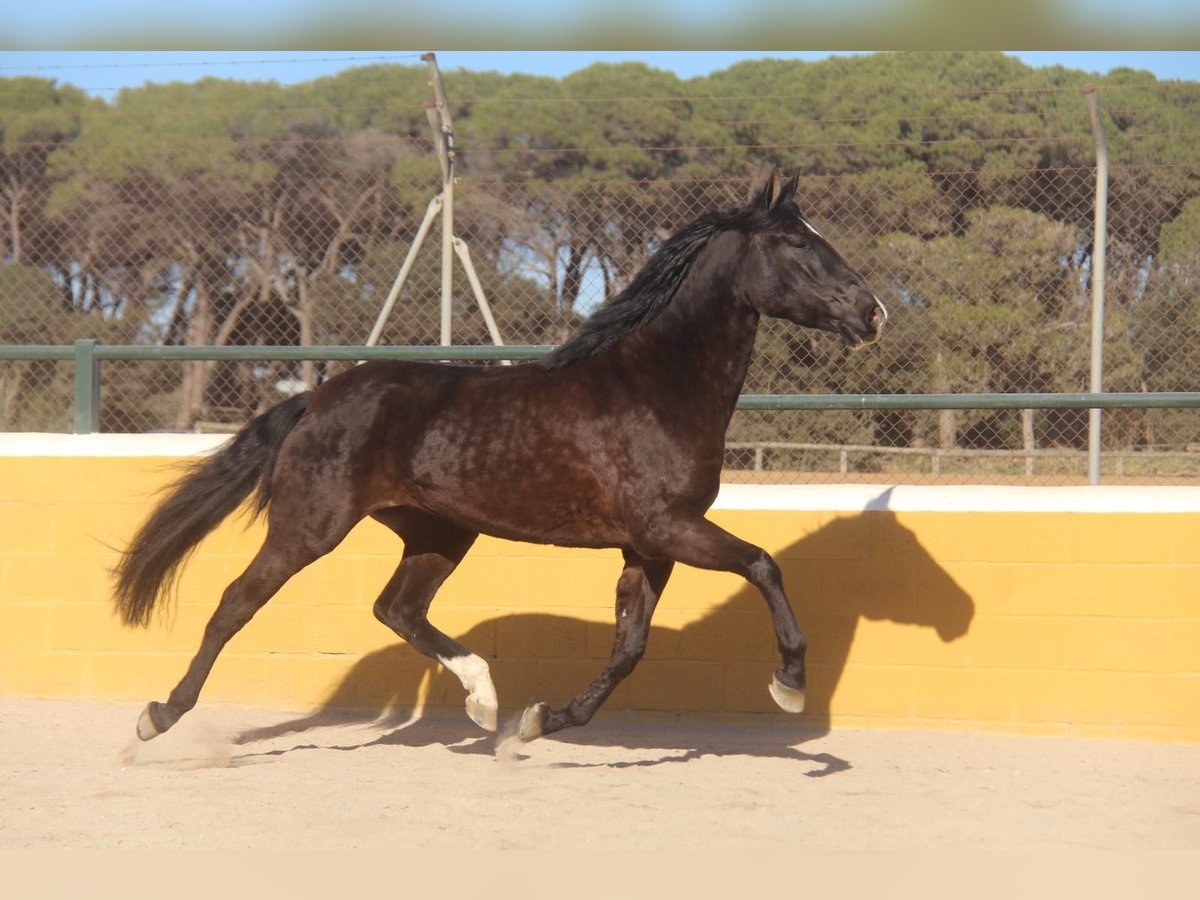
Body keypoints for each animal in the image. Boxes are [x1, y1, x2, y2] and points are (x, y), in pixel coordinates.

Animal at [112, 169, 888, 748]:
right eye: (795, 244)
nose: (874, 313)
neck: (654, 386)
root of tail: (315, 398)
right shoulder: (670, 527)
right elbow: (763, 564)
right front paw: (790, 685)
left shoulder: (650, 544)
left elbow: (629, 647)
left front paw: (543, 720)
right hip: (311, 527)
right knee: (235, 604)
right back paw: (158, 716)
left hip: (440, 531)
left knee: (397, 608)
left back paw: (484, 700)